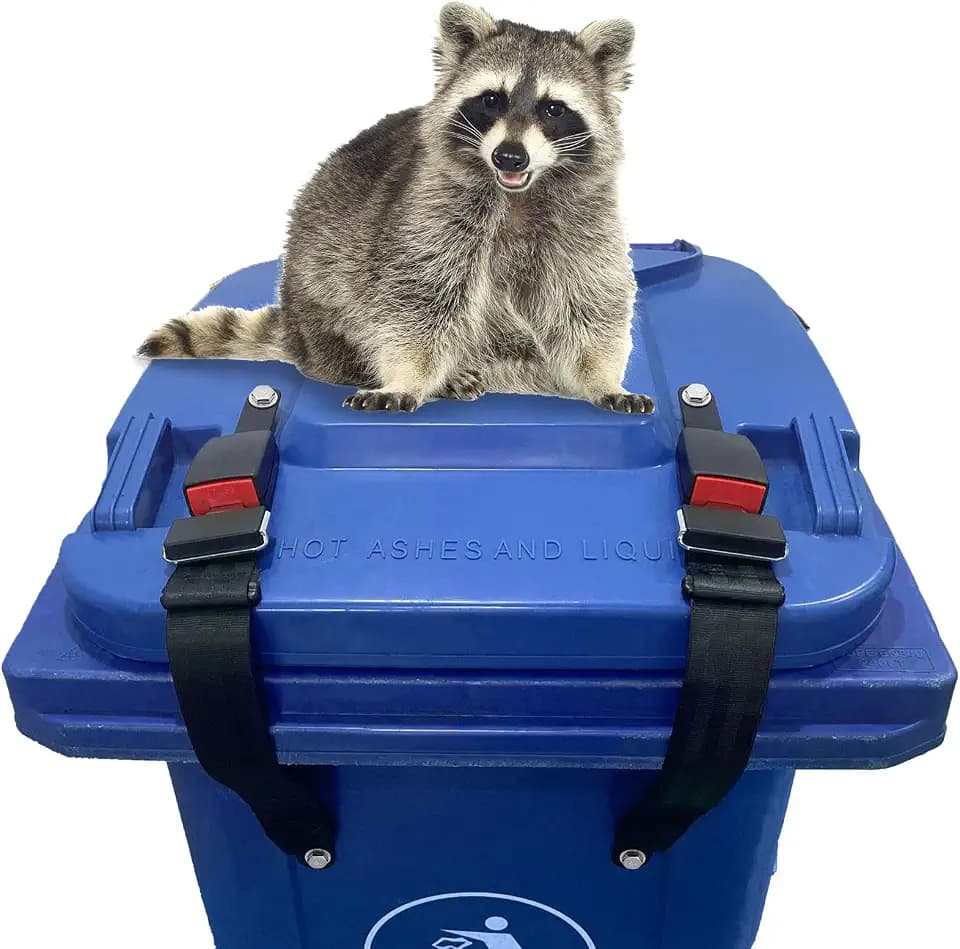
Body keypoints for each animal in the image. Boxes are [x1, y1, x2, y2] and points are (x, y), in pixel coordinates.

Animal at [140, 4, 653, 415]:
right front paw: (409, 377)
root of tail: (297, 327)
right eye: (492, 99)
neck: (516, 195)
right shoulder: (428, 210)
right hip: (320, 297)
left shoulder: (585, 219)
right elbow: (416, 300)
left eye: (552, 109)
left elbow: (589, 301)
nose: (510, 157)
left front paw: (602, 378)